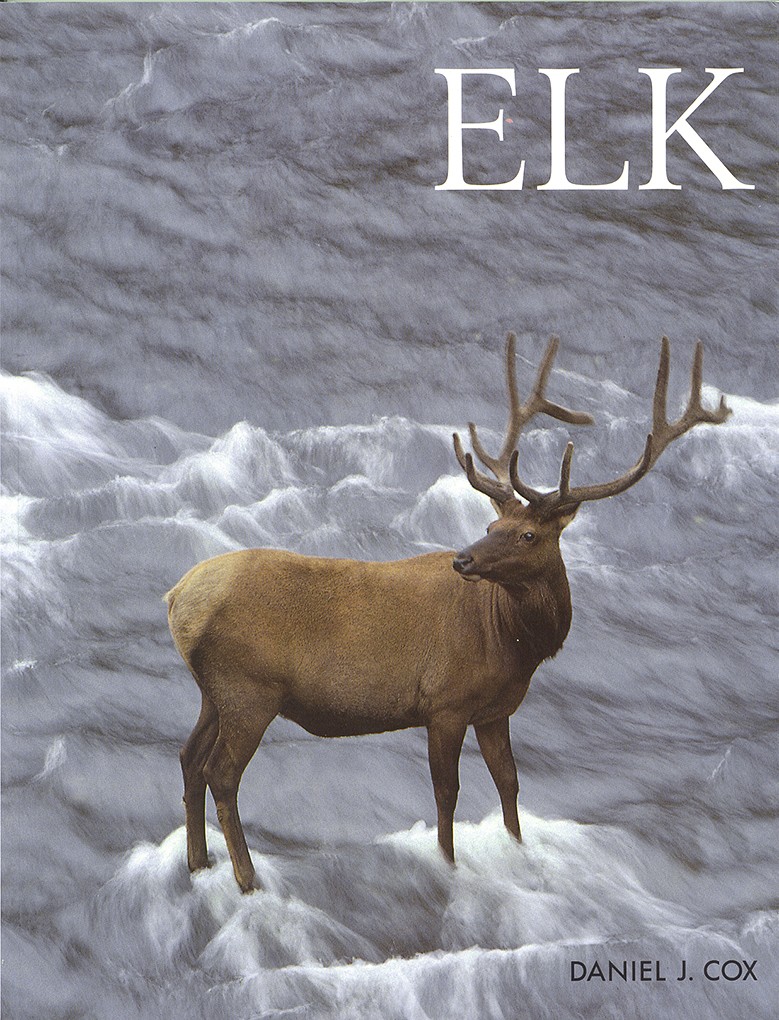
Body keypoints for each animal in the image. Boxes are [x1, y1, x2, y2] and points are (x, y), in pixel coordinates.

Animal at [166, 334, 730, 893]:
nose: (464, 559)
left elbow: (509, 783)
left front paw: (519, 851)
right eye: (492, 524)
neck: (512, 645)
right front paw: (447, 864)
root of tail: (176, 600)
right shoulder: (445, 702)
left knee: (189, 758)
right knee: (222, 773)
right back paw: (247, 878)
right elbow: (447, 792)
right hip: (249, 689)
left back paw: (198, 863)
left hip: (214, 691)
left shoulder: (496, 709)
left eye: (526, 534)